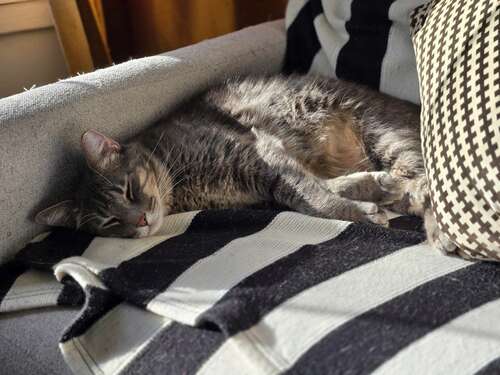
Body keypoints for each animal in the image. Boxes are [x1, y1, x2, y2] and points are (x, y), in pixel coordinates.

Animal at [36, 74, 454, 256]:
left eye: (127, 190)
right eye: (109, 222)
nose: (139, 221)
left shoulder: (261, 154)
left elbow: (311, 196)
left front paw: (364, 209)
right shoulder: (269, 177)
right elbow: (315, 189)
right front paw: (371, 191)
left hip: (385, 135)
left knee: (429, 184)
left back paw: (440, 234)